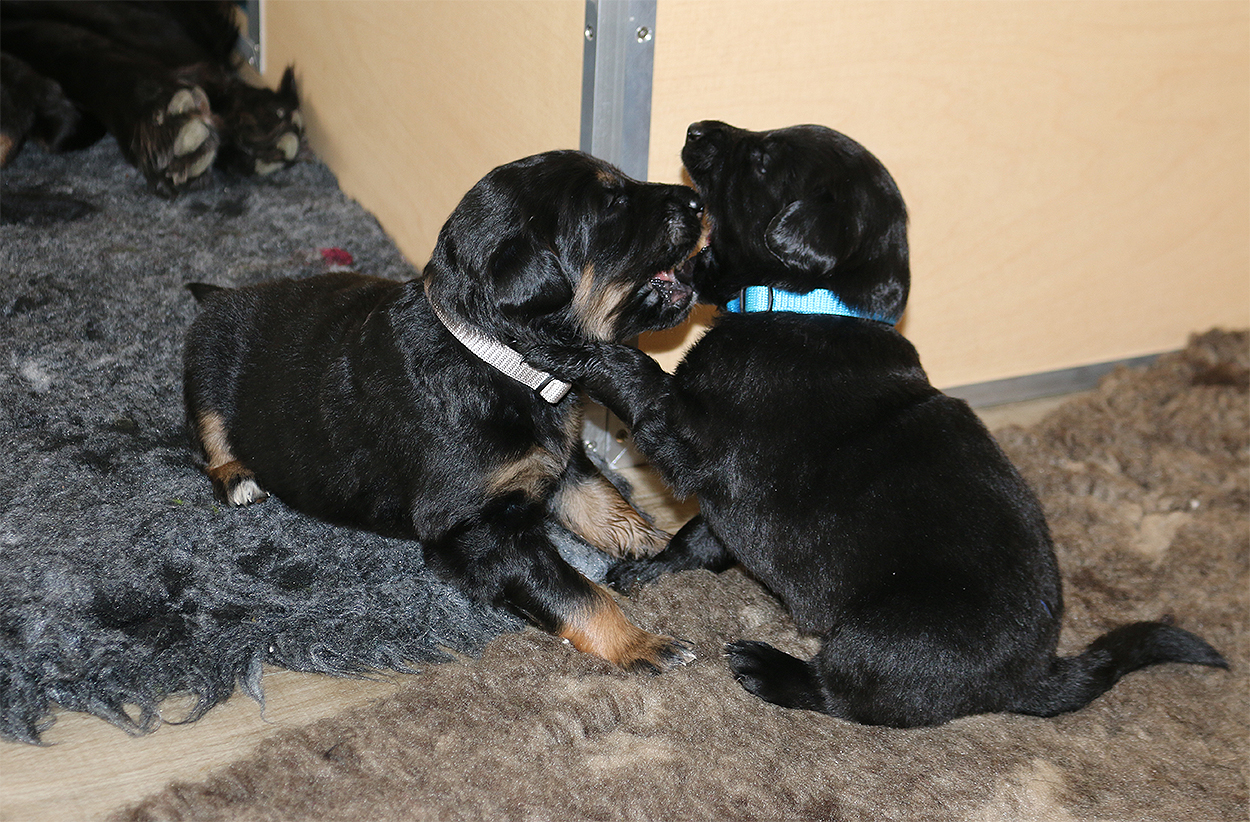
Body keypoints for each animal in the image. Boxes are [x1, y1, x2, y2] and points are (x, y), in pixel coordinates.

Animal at [183, 150, 706, 672]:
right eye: (611, 202)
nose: (700, 203)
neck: (494, 357)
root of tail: (224, 294)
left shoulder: (561, 461)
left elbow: (608, 506)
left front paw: (667, 547)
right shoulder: (478, 528)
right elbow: (575, 591)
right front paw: (641, 642)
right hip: (210, 357)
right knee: (210, 427)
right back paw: (236, 475)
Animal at [528, 121, 1227, 726]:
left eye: (763, 160)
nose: (697, 128)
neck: (810, 306)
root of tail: (1036, 675)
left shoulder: (695, 437)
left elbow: (639, 375)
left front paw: (570, 344)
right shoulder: (727, 500)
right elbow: (702, 537)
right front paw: (649, 564)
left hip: (888, 634)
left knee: (850, 693)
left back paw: (770, 667)